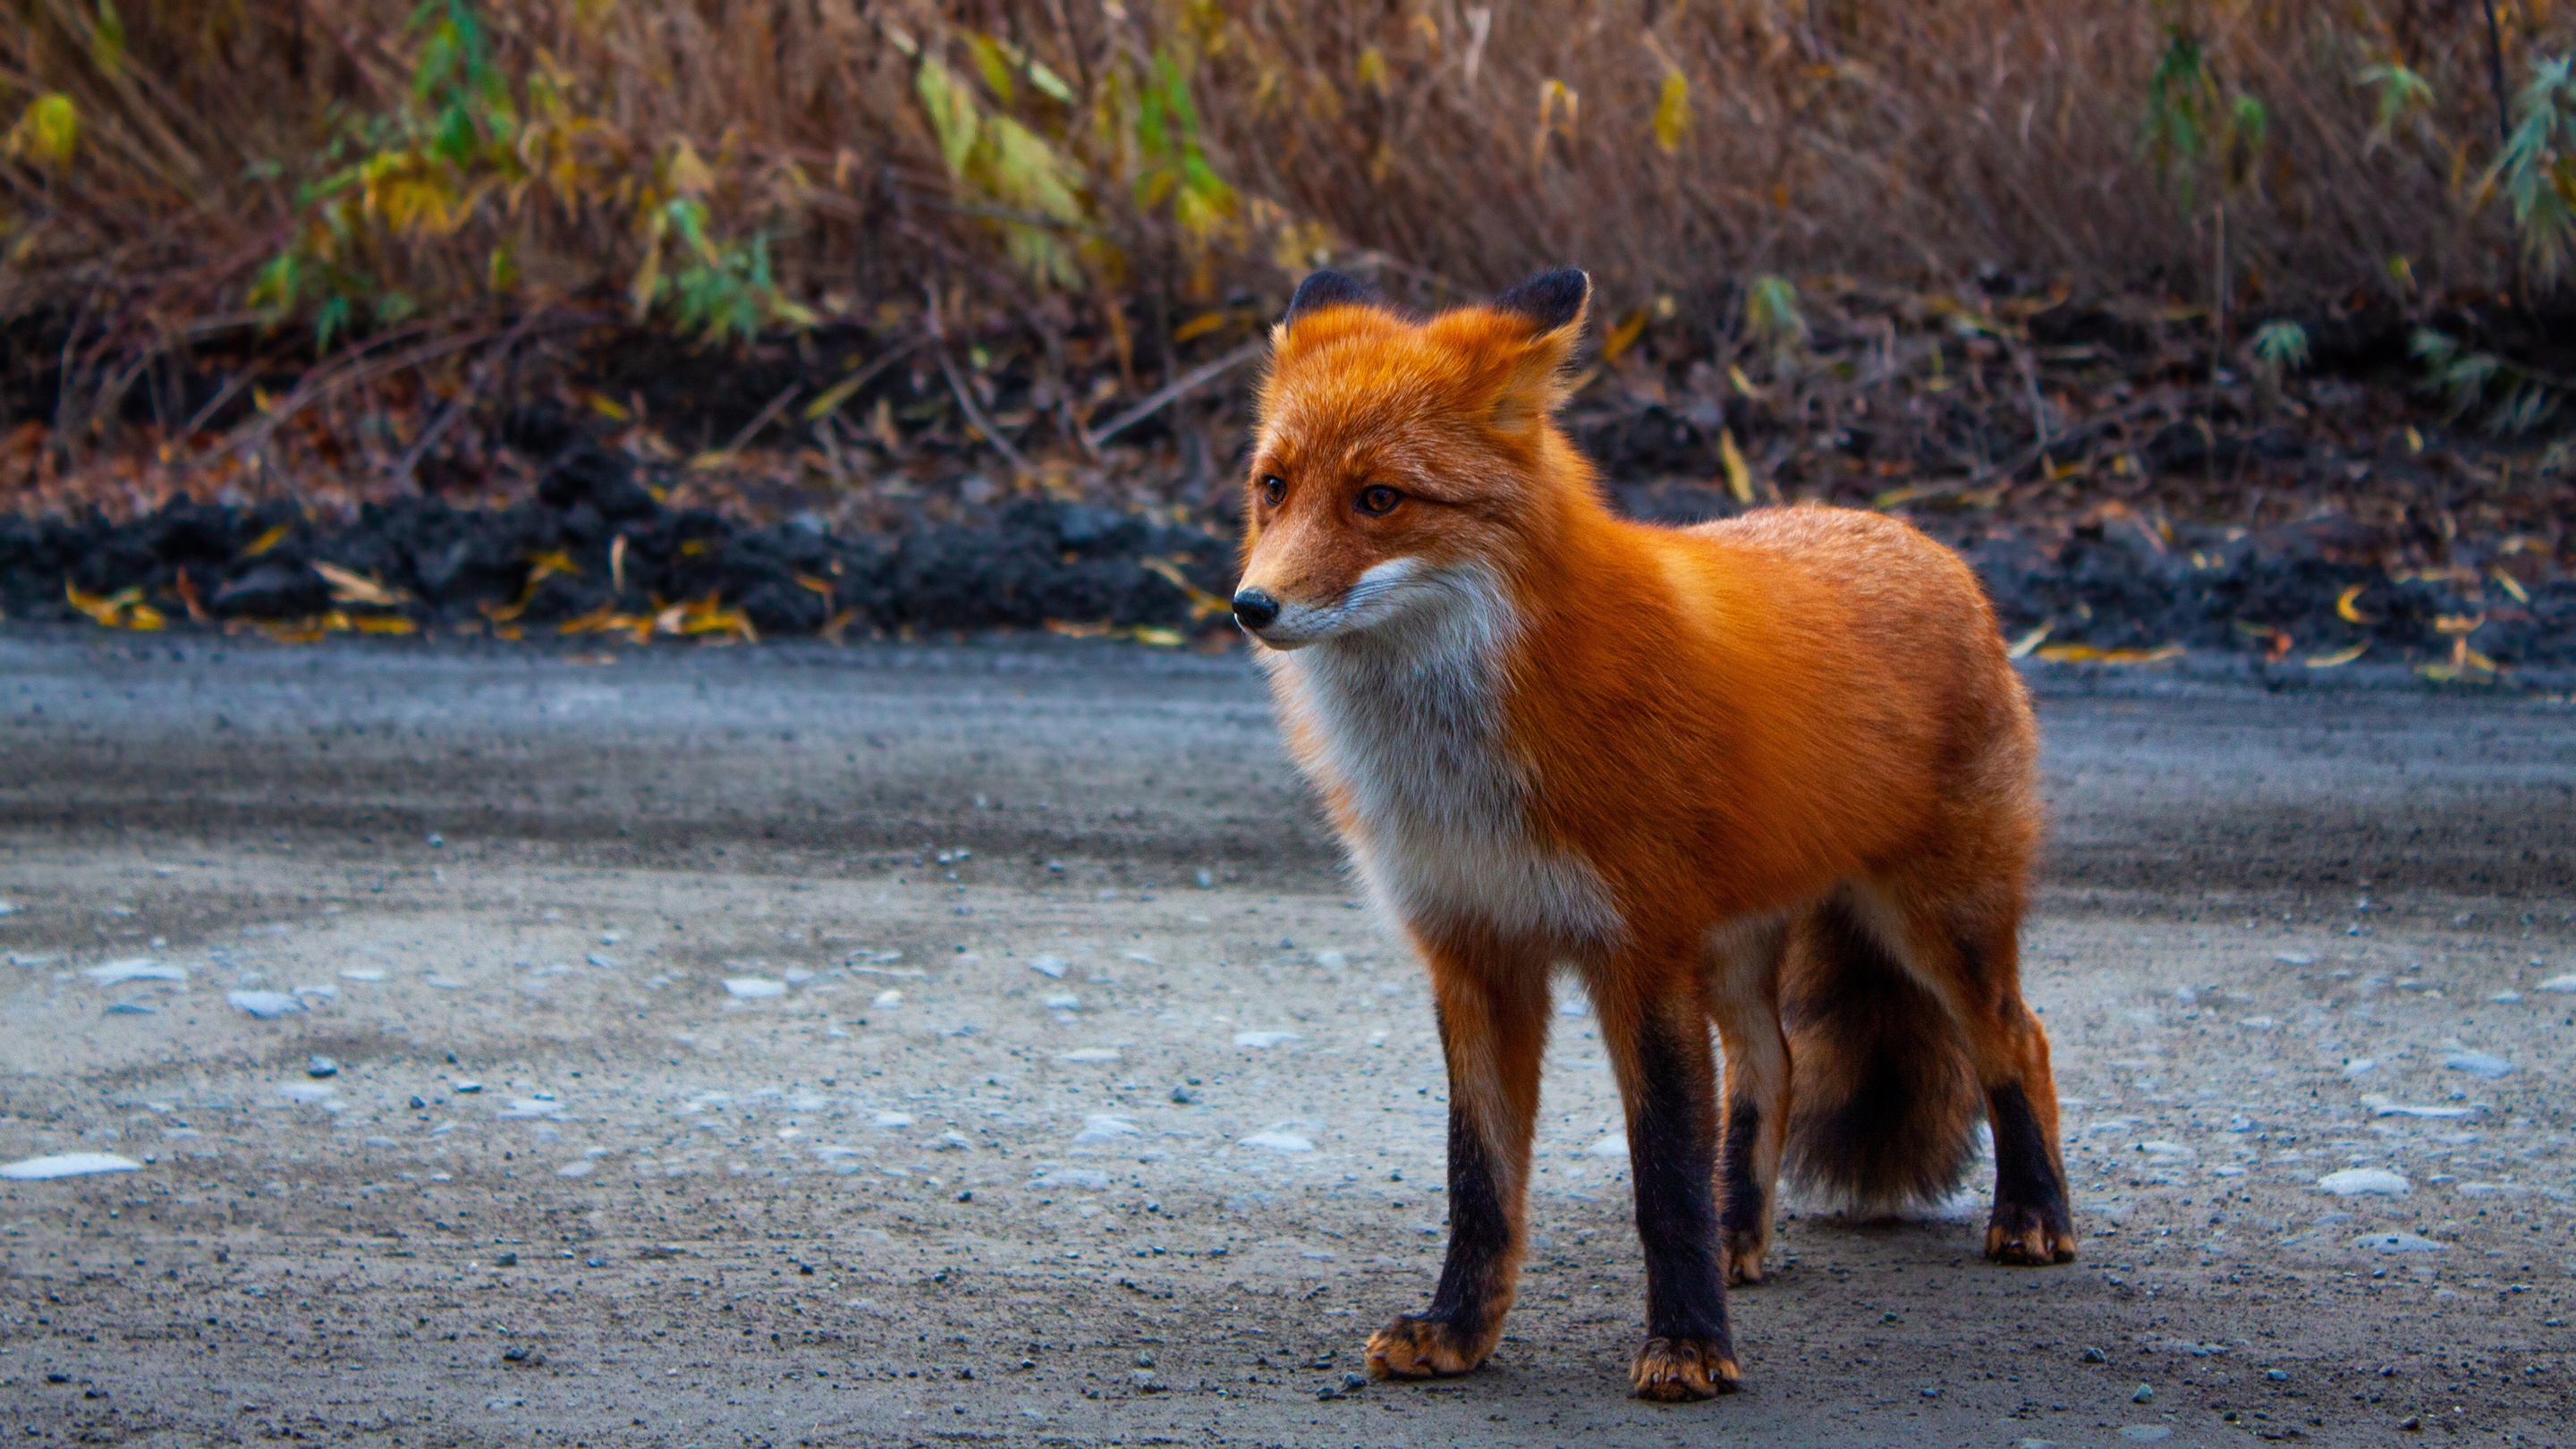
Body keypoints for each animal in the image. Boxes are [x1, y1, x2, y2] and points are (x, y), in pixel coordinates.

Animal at [1229, 267, 2075, 1402]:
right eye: (1274, 487)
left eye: (1378, 499)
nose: (1251, 605)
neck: (1461, 766)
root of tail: (1927, 544)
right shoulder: (1474, 952)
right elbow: (1479, 1180)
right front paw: (1458, 1332)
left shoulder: (1640, 953)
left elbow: (1664, 1174)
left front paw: (1688, 1346)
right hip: (1740, 948)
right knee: (1773, 1068)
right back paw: (1740, 1236)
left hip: (1938, 921)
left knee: (2017, 1039)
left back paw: (2031, 1214)